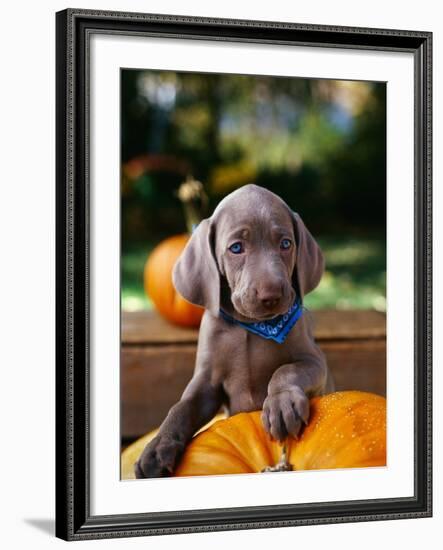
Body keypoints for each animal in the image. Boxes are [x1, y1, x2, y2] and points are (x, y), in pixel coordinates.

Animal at [135, 184, 332, 478]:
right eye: (236, 248)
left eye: (286, 243)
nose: (271, 295)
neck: (252, 328)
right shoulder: (206, 383)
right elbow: (181, 408)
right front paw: (157, 448)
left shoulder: (315, 362)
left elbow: (286, 370)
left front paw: (281, 404)